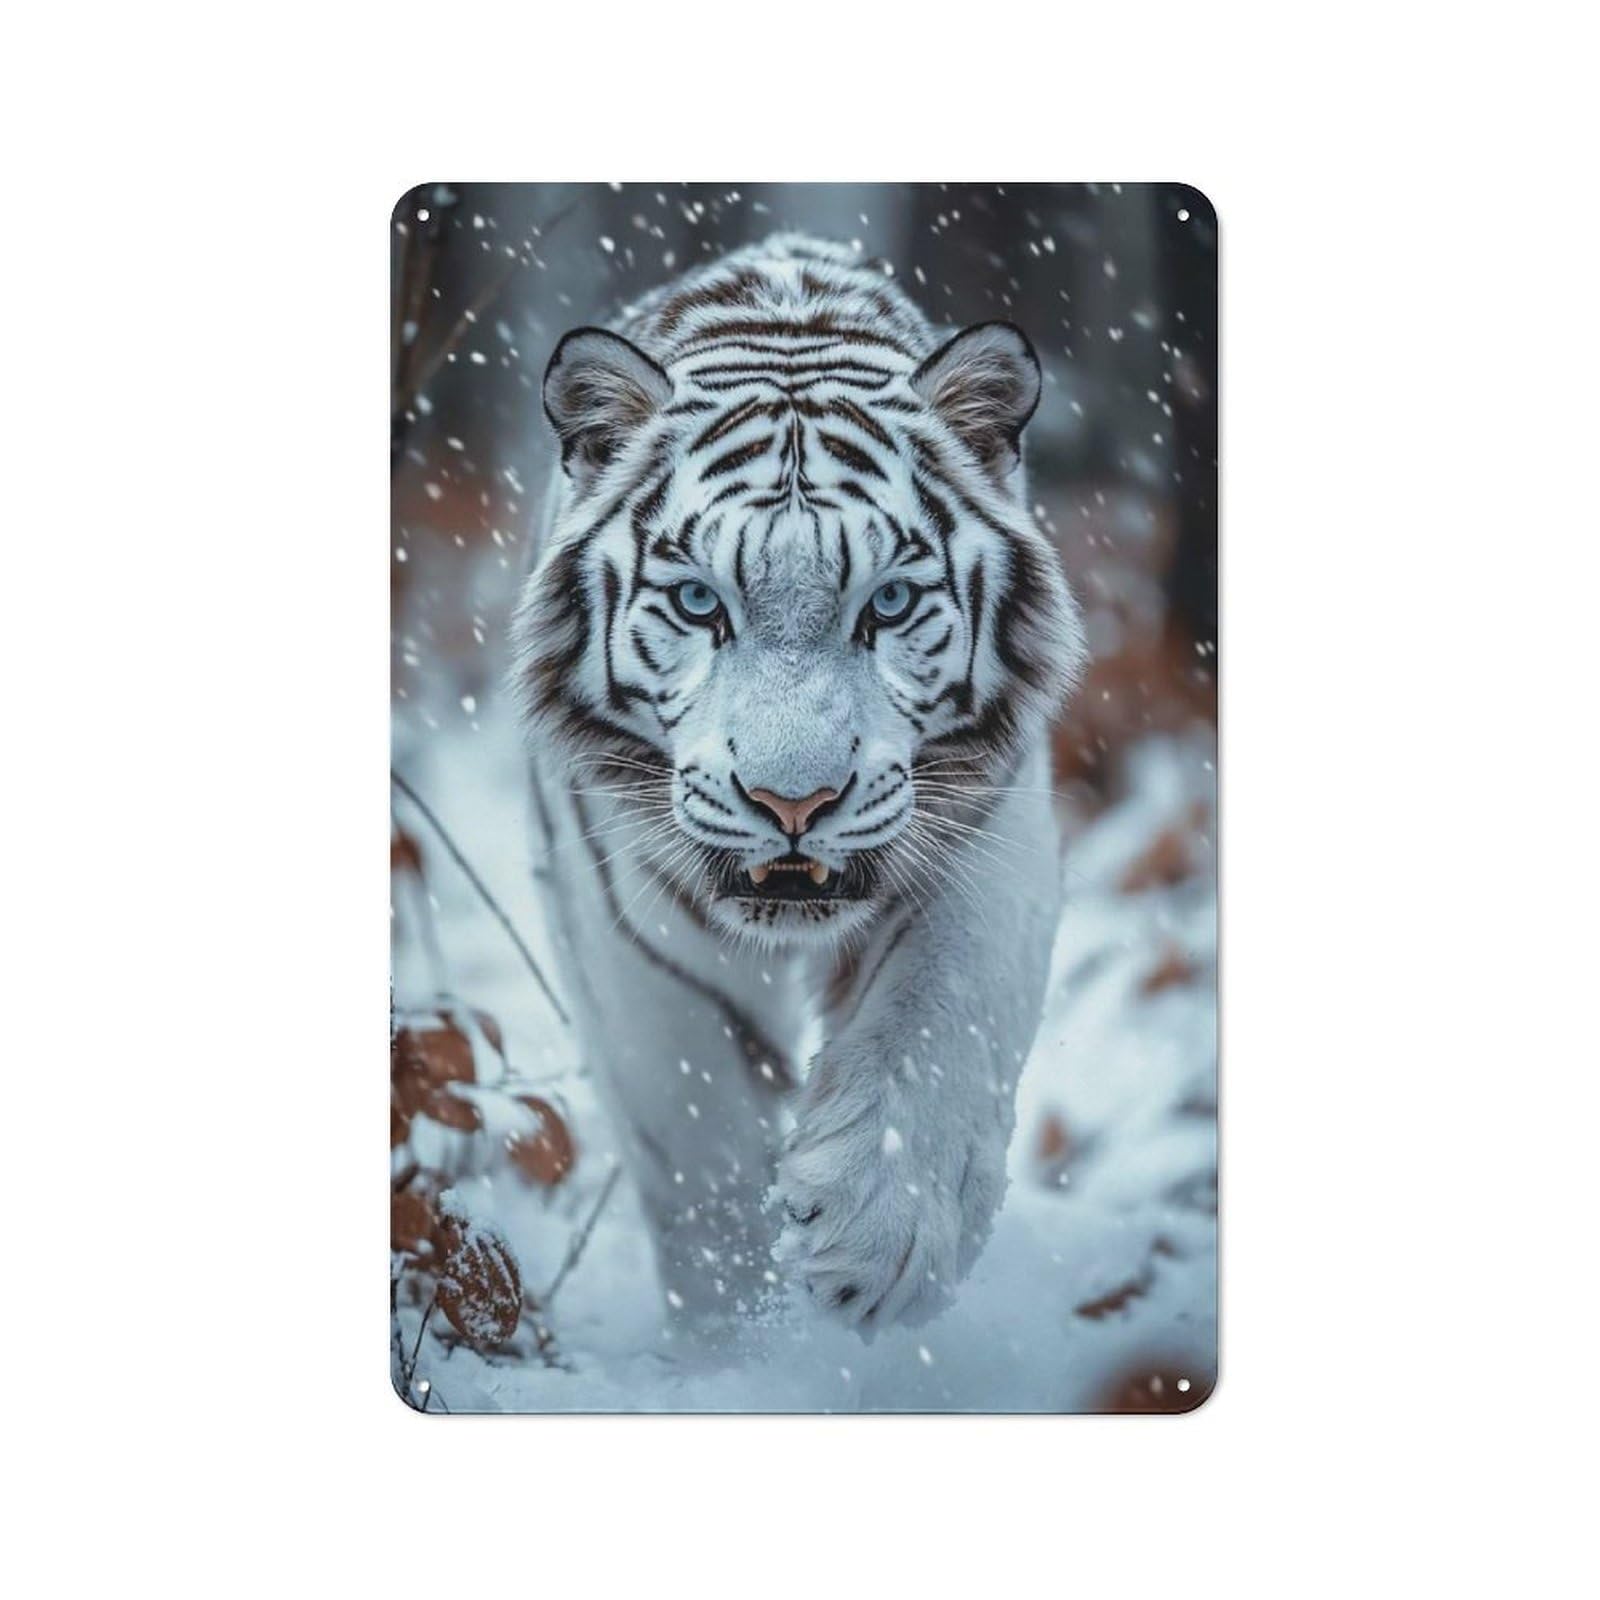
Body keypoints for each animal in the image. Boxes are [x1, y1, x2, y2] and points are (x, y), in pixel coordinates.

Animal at [511, 233, 1085, 1333]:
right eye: (699, 603)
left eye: (889, 604)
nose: (793, 805)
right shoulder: (623, 924)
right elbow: (695, 1137)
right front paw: (739, 1337)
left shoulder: (989, 831)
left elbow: (942, 1015)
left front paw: (879, 1238)